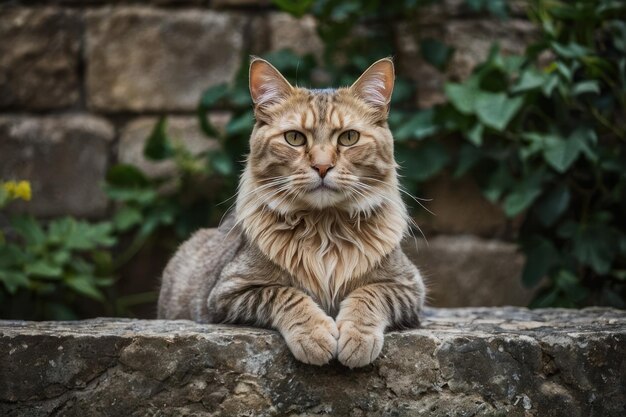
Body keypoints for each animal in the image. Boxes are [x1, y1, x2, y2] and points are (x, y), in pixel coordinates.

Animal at [158, 56, 426, 368]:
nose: (322, 166)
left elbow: (369, 294)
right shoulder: (228, 292)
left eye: (349, 137)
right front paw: (314, 334)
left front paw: (358, 337)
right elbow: (286, 294)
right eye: (295, 138)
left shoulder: (408, 286)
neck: (325, 229)